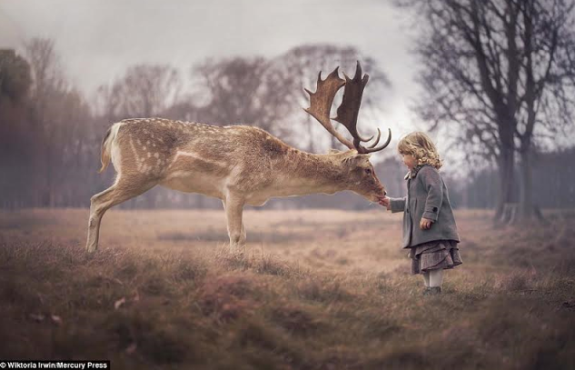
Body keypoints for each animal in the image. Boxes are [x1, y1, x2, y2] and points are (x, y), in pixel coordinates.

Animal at [85, 62, 392, 254]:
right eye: (367, 169)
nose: (383, 192)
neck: (273, 177)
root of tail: (114, 129)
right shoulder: (234, 189)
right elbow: (235, 235)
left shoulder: (229, 196)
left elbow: (242, 236)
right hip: (138, 172)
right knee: (97, 200)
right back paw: (91, 251)